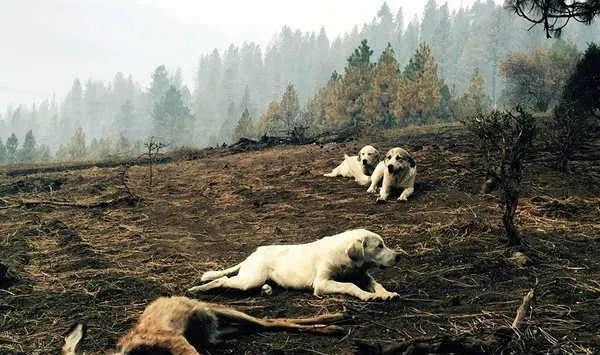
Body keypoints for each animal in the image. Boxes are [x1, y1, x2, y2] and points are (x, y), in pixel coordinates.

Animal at [188, 229, 406, 302]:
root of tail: (254, 253)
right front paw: (367, 296)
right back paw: (199, 289)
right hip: (250, 279)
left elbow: (377, 284)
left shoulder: (363, 275)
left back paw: (267, 290)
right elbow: (350, 286)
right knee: (223, 279)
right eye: (379, 246)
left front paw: (386, 294)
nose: (398, 257)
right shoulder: (322, 284)